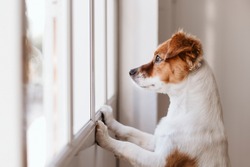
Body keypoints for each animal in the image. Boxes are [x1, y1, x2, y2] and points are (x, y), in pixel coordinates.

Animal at [95, 30, 230, 167]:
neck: (181, 112)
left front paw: (104, 137)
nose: (130, 71)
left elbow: (129, 147)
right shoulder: (156, 141)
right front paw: (109, 118)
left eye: (158, 58)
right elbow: (130, 130)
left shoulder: (160, 161)